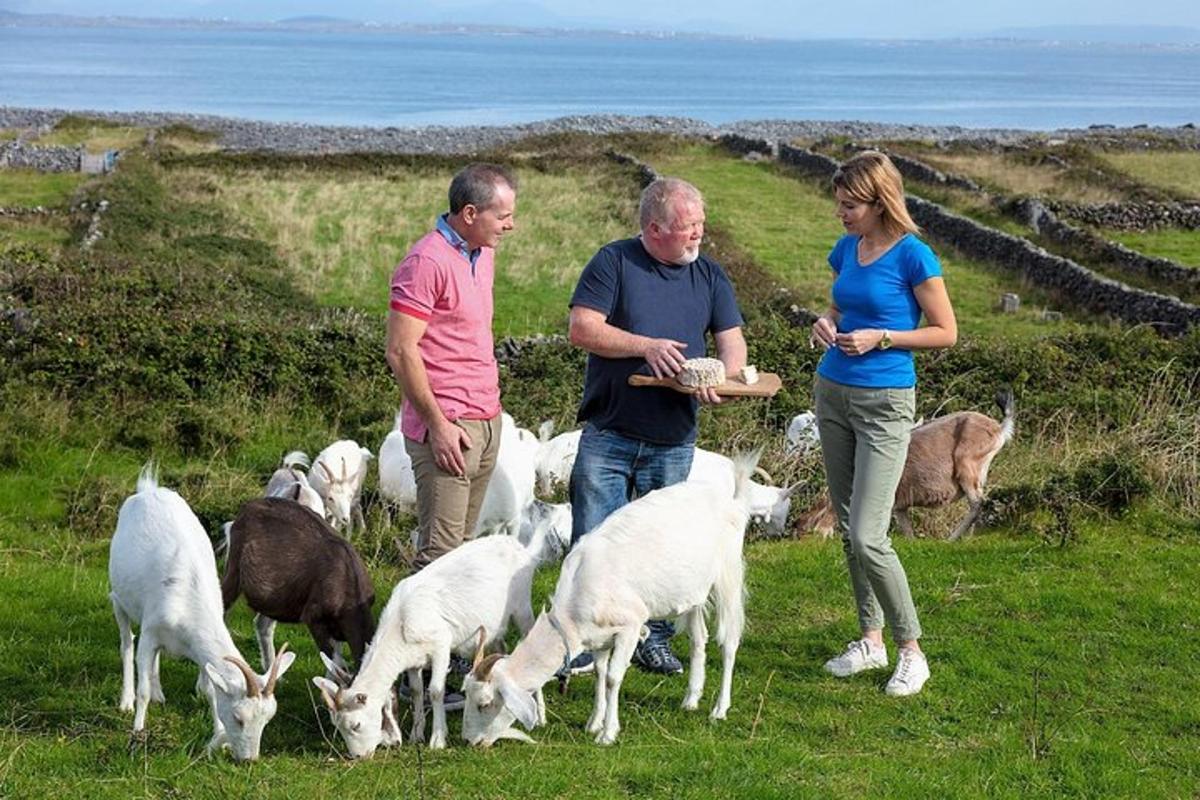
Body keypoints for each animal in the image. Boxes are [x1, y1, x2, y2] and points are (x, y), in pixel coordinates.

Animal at [220, 501, 376, 671]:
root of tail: (245, 510)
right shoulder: (313, 616)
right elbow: (334, 664)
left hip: (276, 599)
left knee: (262, 623)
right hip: (234, 567)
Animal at [312, 534, 542, 753]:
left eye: (356, 725)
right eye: (337, 726)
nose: (359, 756)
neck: (401, 624)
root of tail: (516, 544)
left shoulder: (441, 645)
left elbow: (435, 690)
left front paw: (438, 739)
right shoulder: (414, 660)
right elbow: (416, 691)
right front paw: (416, 734)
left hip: (523, 607)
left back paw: (540, 716)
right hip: (495, 628)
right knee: (501, 648)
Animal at [460, 448, 753, 748]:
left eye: (485, 703)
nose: (470, 741)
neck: (572, 615)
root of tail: (732, 500)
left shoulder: (630, 626)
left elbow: (613, 677)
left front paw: (608, 733)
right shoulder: (600, 636)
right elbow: (600, 673)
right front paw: (593, 723)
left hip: (728, 575)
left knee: (729, 641)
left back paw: (719, 709)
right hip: (693, 592)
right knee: (698, 638)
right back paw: (691, 699)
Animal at [796, 388, 1012, 542]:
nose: (799, 526)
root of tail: (999, 428)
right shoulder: (899, 505)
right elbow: (908, 533)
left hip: (966, 468)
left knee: (977, 503)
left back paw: (950, 539)